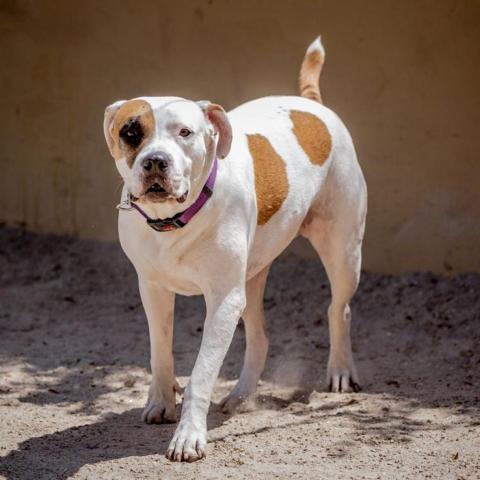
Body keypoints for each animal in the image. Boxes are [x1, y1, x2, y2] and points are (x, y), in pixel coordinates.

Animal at [103, 36, 368, 462]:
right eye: (131, 132)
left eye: (185, 132)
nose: (155, 161)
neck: (174, 220)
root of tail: (310, 102)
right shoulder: (153, 290)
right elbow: (160, 351)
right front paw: (160, 401)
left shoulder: (223, 300)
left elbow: (201, 373)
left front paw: (188, 435)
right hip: (252, 279)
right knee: (260, 337)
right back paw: (242, 396)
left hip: (343, 253)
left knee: (338, 309)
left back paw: (341, 371)